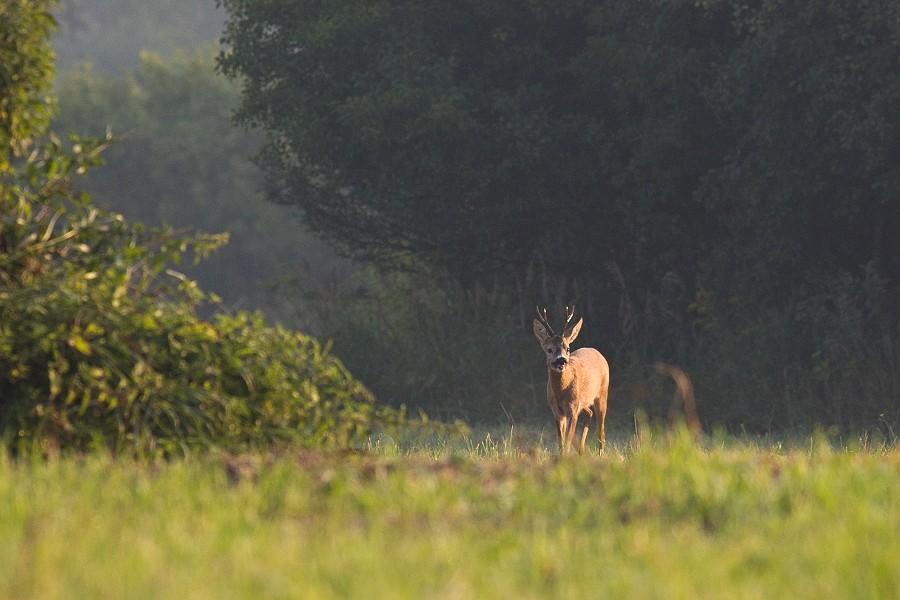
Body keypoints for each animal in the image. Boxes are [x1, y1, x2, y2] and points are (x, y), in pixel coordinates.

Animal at [536, 310, 612, 454]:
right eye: (549, 349)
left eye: (568, 348)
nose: (561, 360)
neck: (561, 393)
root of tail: (596, 351)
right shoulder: (557, 411)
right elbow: (561, 443)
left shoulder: (572, 409)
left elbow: (566, 442)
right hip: (582, 403)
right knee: (589, 413)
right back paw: (581, 450)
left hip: (602, 394)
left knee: (601, 434)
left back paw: (599, 455)